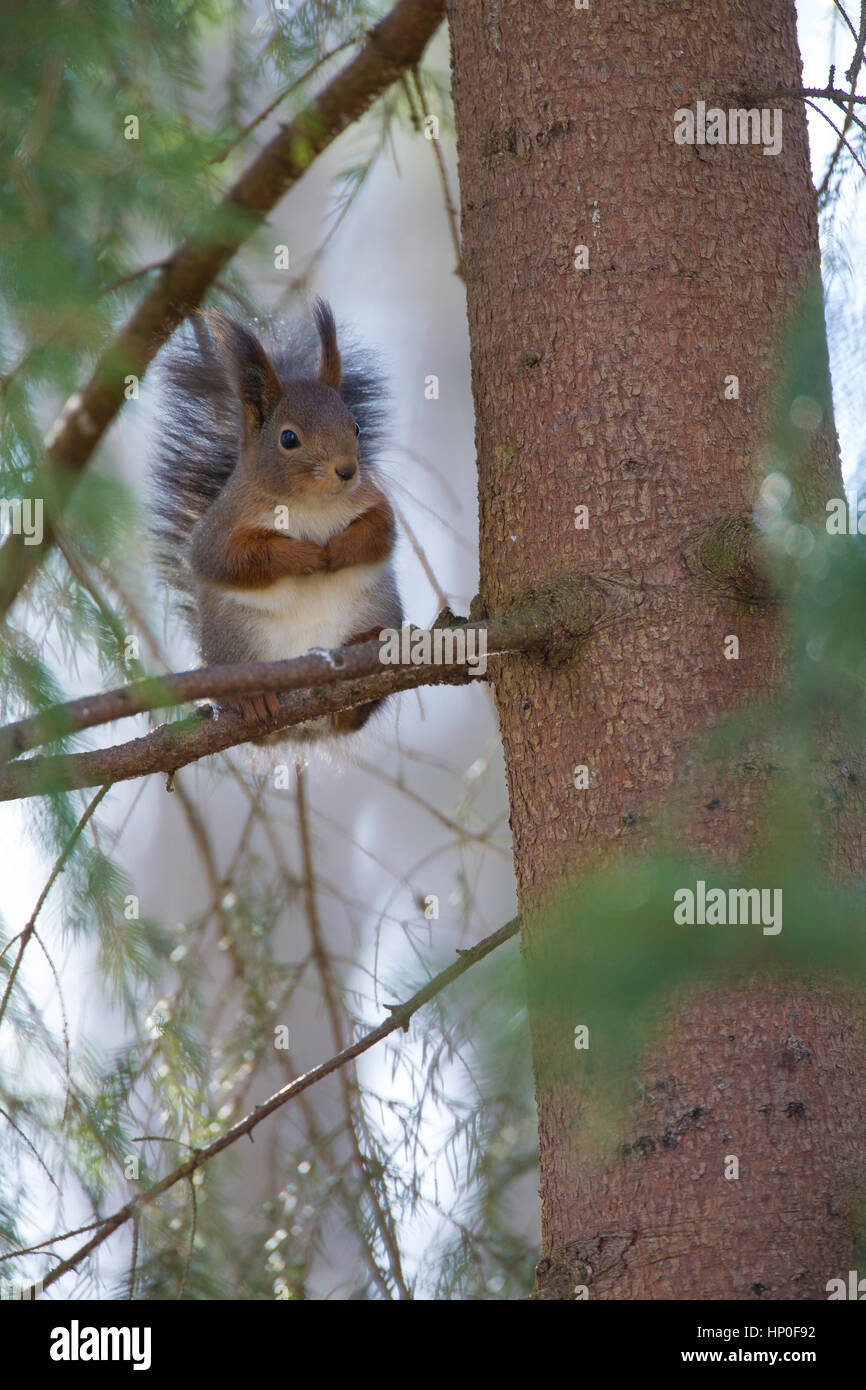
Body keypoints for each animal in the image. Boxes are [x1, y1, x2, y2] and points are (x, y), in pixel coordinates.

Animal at [151, 299, 403, 738]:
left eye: (356, 426)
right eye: (289, 438)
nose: (347, 470)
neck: (311, 504)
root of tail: (307, 726)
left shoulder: (372, 500)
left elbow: (380, 530)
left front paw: (340, 550)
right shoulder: (223, 527)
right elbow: (230, 560)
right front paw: (305, 557)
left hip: (379, 608)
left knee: (350, 719)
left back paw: (363, 653)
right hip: (234, 642)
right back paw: (252, 699)